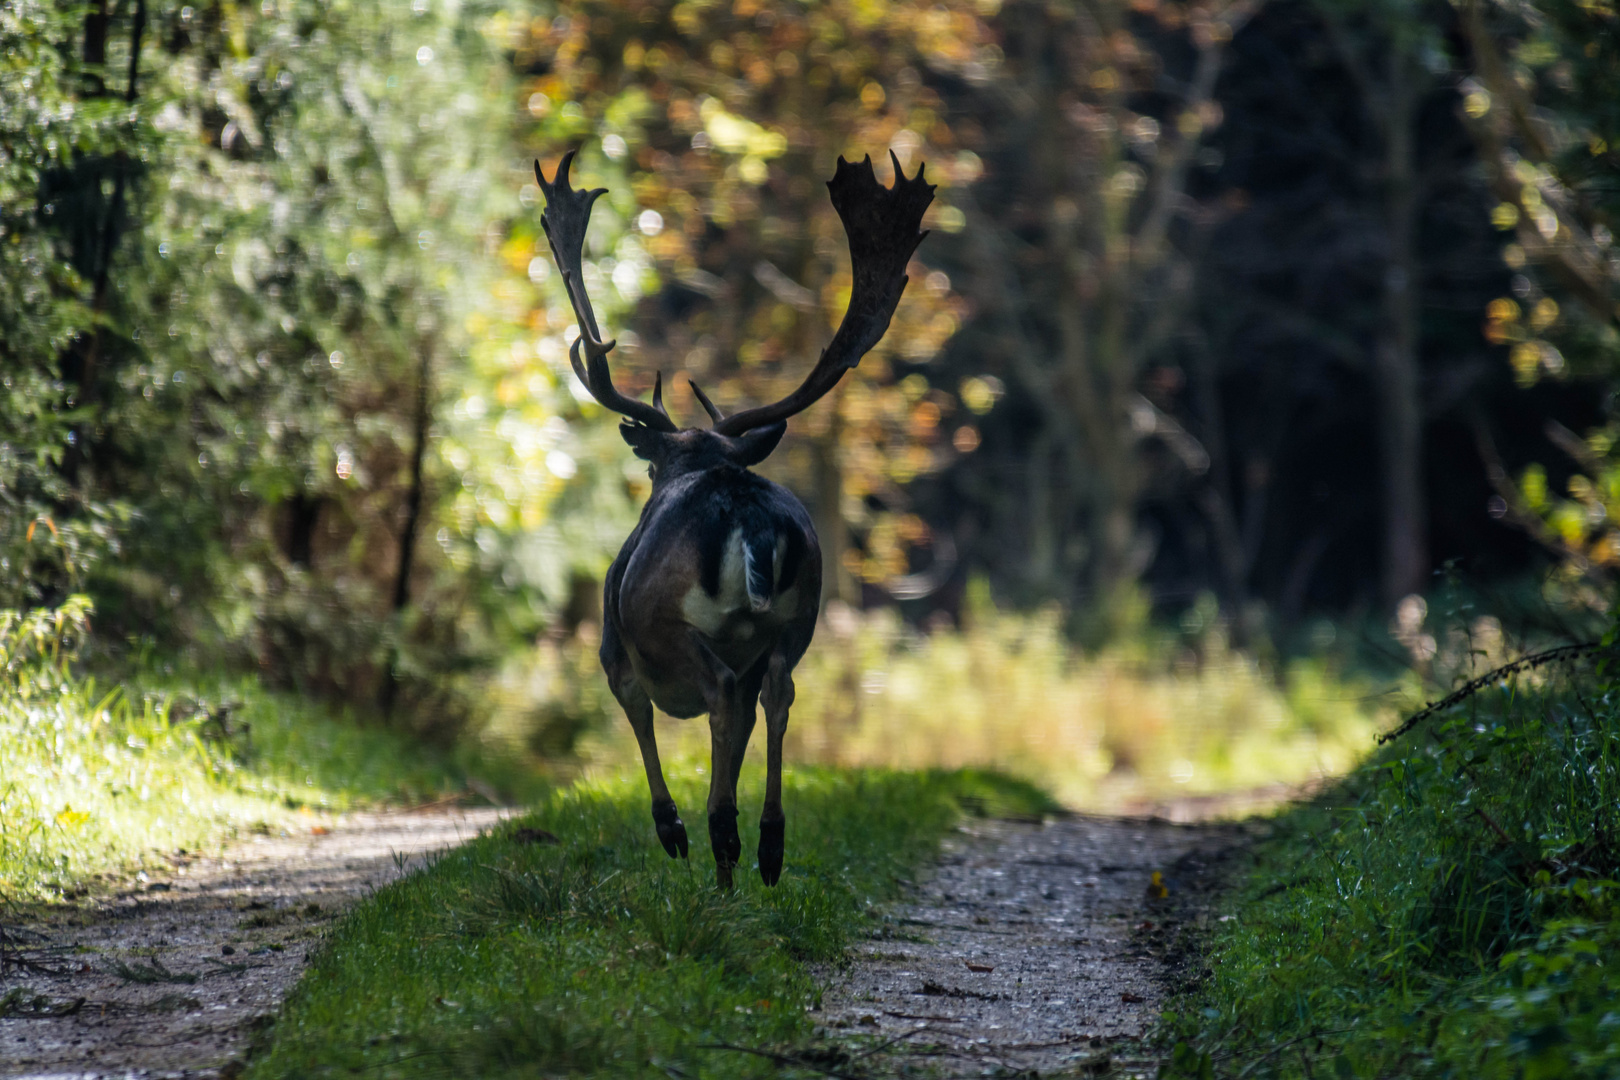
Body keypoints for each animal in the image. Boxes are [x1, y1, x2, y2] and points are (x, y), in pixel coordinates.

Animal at [537, 148, 933, 887]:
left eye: (650, 471)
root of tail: (747, 515)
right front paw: (727, 859)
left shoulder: (614, 648)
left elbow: (640, 716)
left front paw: (677, 831)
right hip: (795, 620)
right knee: (775, 693)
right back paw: (766, 844)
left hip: (672, 623)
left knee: (723, 694)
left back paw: (717, 832)